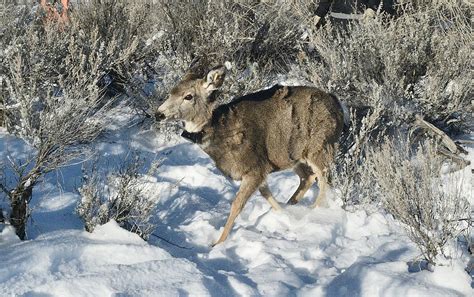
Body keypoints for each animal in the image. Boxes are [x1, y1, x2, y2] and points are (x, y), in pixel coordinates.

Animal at [156, 66, 344, 246]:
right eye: (171, 91)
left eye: (188, 96)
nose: (159, 114)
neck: (219, 133)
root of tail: (338, 105)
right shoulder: (261, 170)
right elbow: (267, 195)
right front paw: (284, 215)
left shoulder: (254, 167)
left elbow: (237, 205)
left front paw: (217, 243)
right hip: (292, 155)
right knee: (308, 177)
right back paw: (293, 206)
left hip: (321, 147)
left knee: (324, 182)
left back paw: (314, 212)